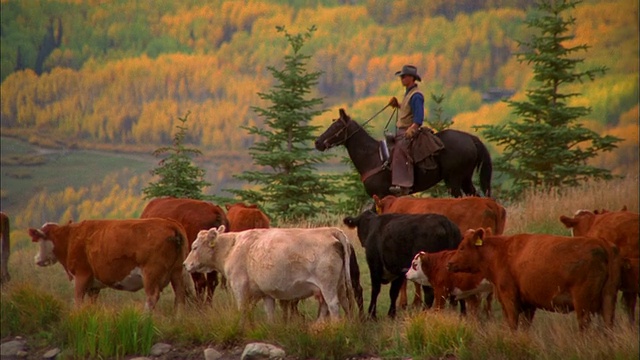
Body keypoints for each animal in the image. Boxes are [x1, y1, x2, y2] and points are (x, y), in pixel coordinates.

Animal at [28, 218, 189, 310]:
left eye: (39, 240)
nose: (37, 259)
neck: (71, 238)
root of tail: (170, 225)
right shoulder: (93, 286)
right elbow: (92, 303)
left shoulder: (81, 275)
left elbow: (78, 300)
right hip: (177, 271)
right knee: (180, 296)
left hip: (151, 273)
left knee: (152, 297)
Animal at [314, 109, 490, 198]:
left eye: (337, 126)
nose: (317, 142)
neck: (372, 157)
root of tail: (471, 139)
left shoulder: (382, 195)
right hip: (465, 179)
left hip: (454, 181)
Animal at [444, 229, 620, 330]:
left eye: (462, 247)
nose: (450, 263)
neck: (501, 252)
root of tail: (600, 242)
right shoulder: (528, 304)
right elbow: (525, 326)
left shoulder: (509, 298)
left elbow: (513, 324)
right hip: (609, 298)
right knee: (608, 325)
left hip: (582, 302)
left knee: (584, 325)